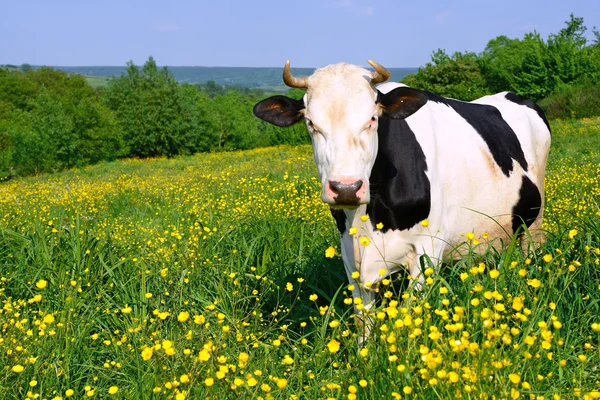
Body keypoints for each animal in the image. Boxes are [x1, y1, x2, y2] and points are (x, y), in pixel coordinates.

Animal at [251, 61, 552, 342]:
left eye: (372, 119)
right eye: (311, 123)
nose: (346, 188)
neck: (369, 218)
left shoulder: (427, 250)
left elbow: (409, 314)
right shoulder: (349, 253)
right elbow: (363, 319)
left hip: (534, 222)